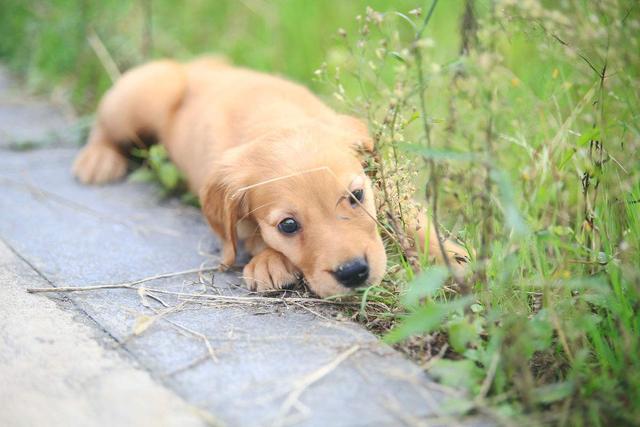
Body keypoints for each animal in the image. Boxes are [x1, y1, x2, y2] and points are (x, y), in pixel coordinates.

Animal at [72, 57, 468, 298]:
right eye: (288, 226)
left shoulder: (382, 187)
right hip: (145, 94)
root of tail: (194, 64)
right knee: (103, 124)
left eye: (356, 196)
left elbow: (413, 217)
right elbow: (246, 234)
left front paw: (452, 255)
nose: (354, 272)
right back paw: (98, 158)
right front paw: (269, 260)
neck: (274, 118)